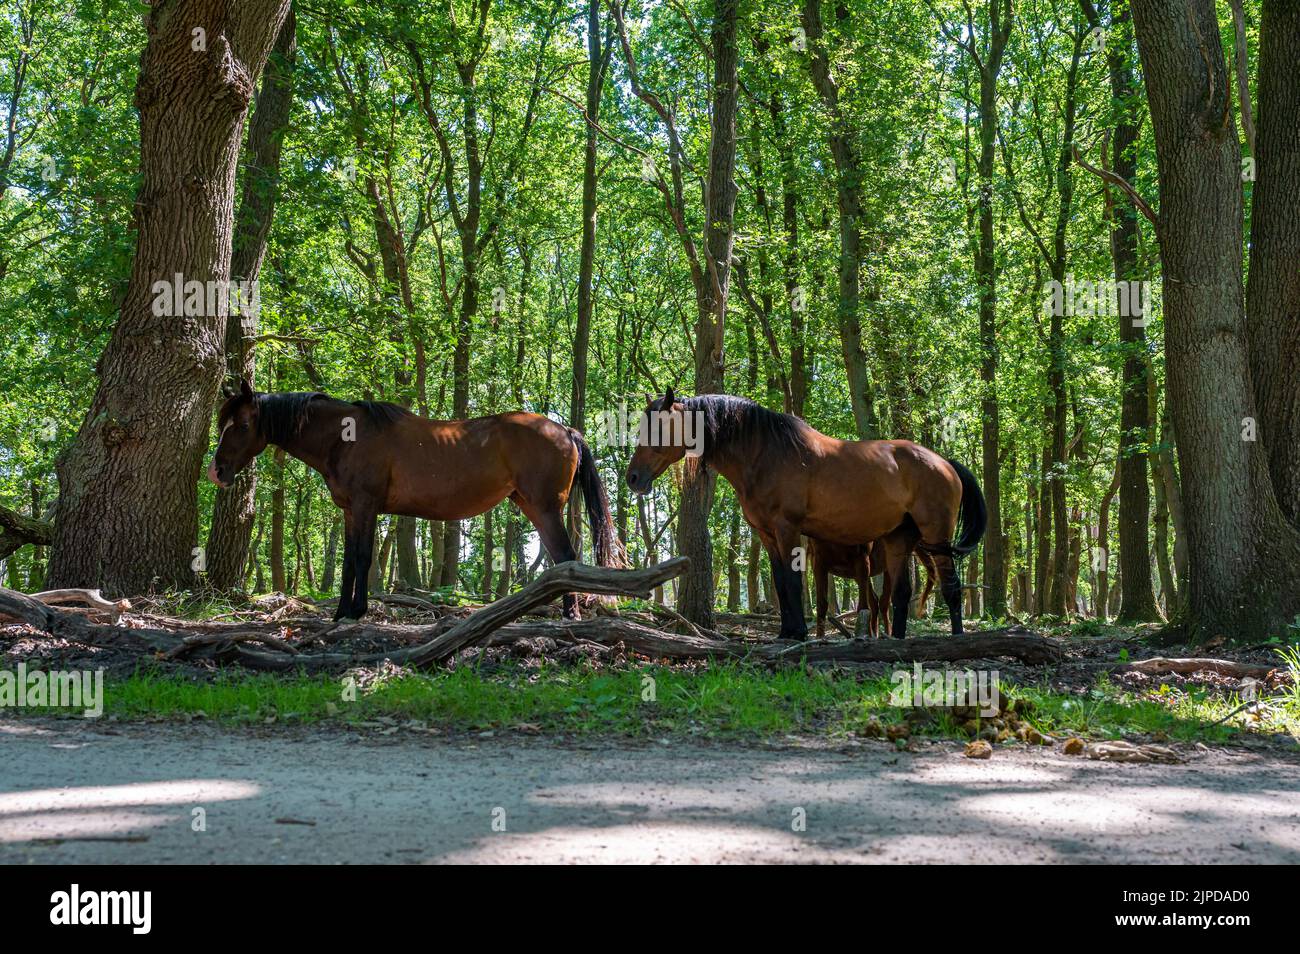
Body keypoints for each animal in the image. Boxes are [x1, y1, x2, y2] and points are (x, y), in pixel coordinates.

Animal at [208, 380, 623, 620]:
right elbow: (348, 561)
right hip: (531, 504)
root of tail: (565, 429)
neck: (345, 437)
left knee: (566, 556)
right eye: (220, 422)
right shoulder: (349, 511)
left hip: (544, 506)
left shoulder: (366, 506)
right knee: (561, 558)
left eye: (242, 425)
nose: (217, 472)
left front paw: (356, 611)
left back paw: (569, 615)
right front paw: (341, 612)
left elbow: (363, 558)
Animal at [809, 538, 937, 639]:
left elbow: (863, 607)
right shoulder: (818, 562)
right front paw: (820, 639)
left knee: (884, 602)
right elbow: (821, 604)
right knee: (874, 601)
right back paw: (874, 635)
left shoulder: (862, 559)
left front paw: (863, 636)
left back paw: (887, 635)